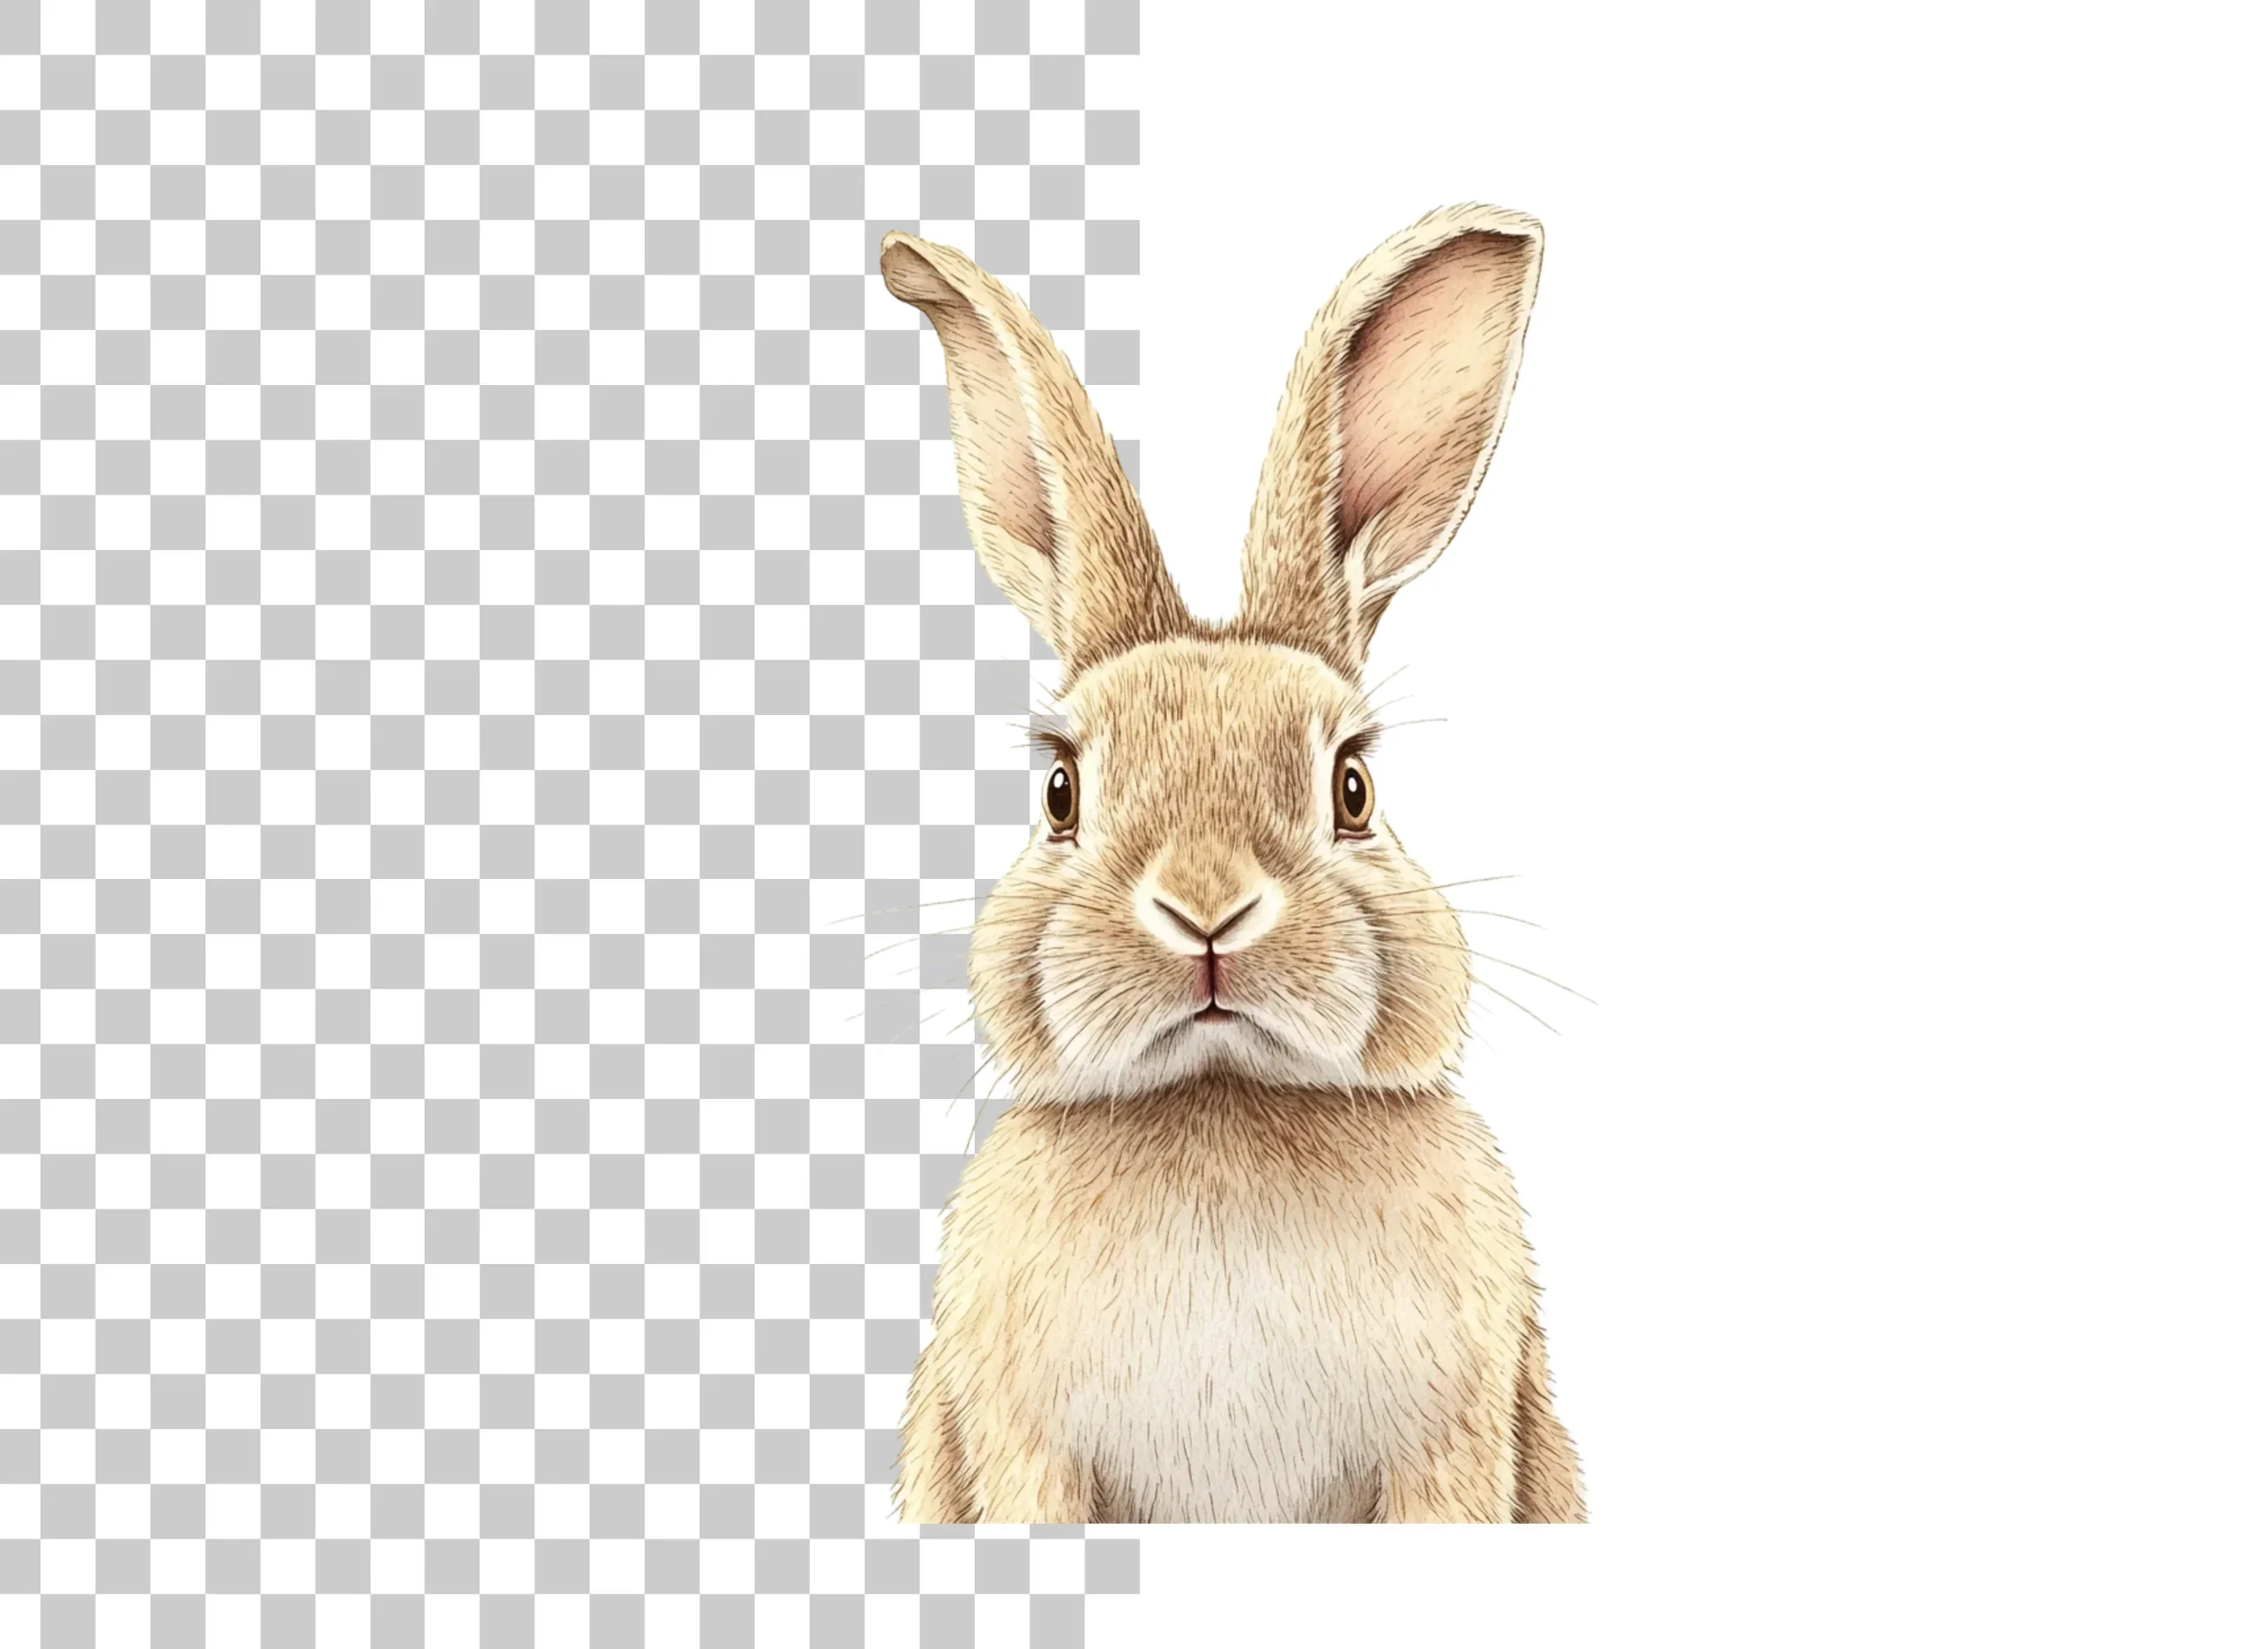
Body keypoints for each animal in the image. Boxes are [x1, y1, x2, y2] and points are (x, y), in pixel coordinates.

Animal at [879, 205, 1584, 1523]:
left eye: (1352, 788)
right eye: (1059, 792)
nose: (1206, 909)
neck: (1222, 1097)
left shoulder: (1453, 1448)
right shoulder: (1020, 1451)